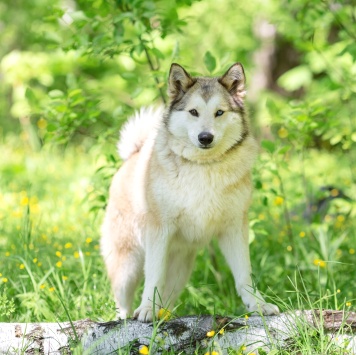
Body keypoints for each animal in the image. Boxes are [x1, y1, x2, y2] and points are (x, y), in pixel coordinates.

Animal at [101, 63, 280, 322]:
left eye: (219, 112)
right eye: (193, 112)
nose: (205, 137)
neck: (203, 167)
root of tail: (132, 156)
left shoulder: (234, 229)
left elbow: (244, 275)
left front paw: (258, 305)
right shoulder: (159, 232)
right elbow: (153, 277)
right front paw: (146, 309)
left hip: (180, 270)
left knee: (167, 298)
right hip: (128, 266)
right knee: (122, 302)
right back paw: (125, 318)